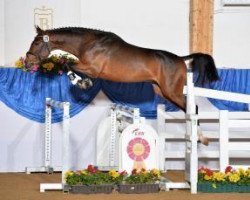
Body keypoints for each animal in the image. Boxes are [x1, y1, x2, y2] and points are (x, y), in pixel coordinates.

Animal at [25, 27, 220, 145]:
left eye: (36, 43)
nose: (27, 63)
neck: (89, 44)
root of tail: (180, 58)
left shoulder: (93, 69)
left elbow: (67, 64)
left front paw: (81, 82)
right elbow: (66, 63)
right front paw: (82, 82)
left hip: (171, 91)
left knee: (193, 107)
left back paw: (201, 137)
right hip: (163, 91)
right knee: (188, 108)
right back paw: (196, 136)